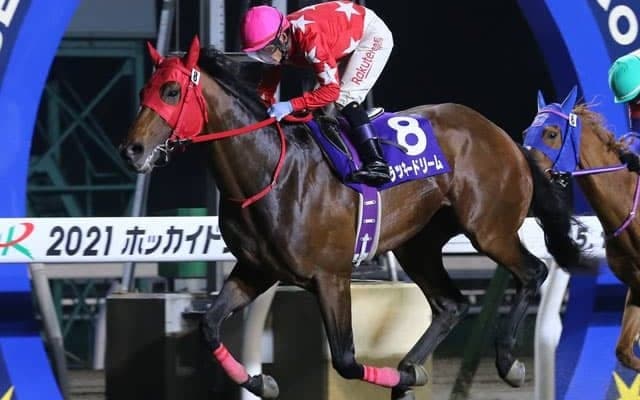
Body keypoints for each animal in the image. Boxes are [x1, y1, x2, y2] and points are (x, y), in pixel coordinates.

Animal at [119, 36, 591, 400]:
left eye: (171, 91)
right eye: (143, 92)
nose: (132, 150)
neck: (272, 171)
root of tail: (505, 137)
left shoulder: (331, 276)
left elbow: (346, 360)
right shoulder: (256, 269)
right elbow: (210, 326)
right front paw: (260, 382)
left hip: (489, 229)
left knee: (531, 273)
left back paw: (507, 362)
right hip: (418, 244)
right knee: (451, 305)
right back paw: (409, 372)